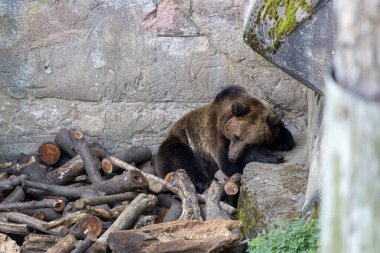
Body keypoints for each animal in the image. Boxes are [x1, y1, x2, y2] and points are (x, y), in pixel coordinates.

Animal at [154, 85, 294, 192]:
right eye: (236, 137)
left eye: (251, 143)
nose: (233, 157)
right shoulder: (214, 134)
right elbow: (228, 166)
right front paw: (274, 156)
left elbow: (281, 133)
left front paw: (284, 141)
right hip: (181, 140)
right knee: (182, 156)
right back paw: (205, 182)